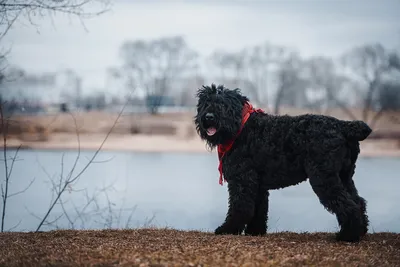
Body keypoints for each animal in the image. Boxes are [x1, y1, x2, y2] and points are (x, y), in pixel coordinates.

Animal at [195, 84, 374, 243]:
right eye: (205, 103)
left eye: (223, 104)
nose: (209, 117)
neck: (241, 127)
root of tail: (343, 126)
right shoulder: (257, 184)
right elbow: (259, 209)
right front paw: (255, 231)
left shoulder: (242, 180)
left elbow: (240, 207)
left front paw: (227, 229)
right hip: (344, 176)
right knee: (358, 201)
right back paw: (360, 231)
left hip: (324, 178)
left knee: (348, 205)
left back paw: (347, 236)